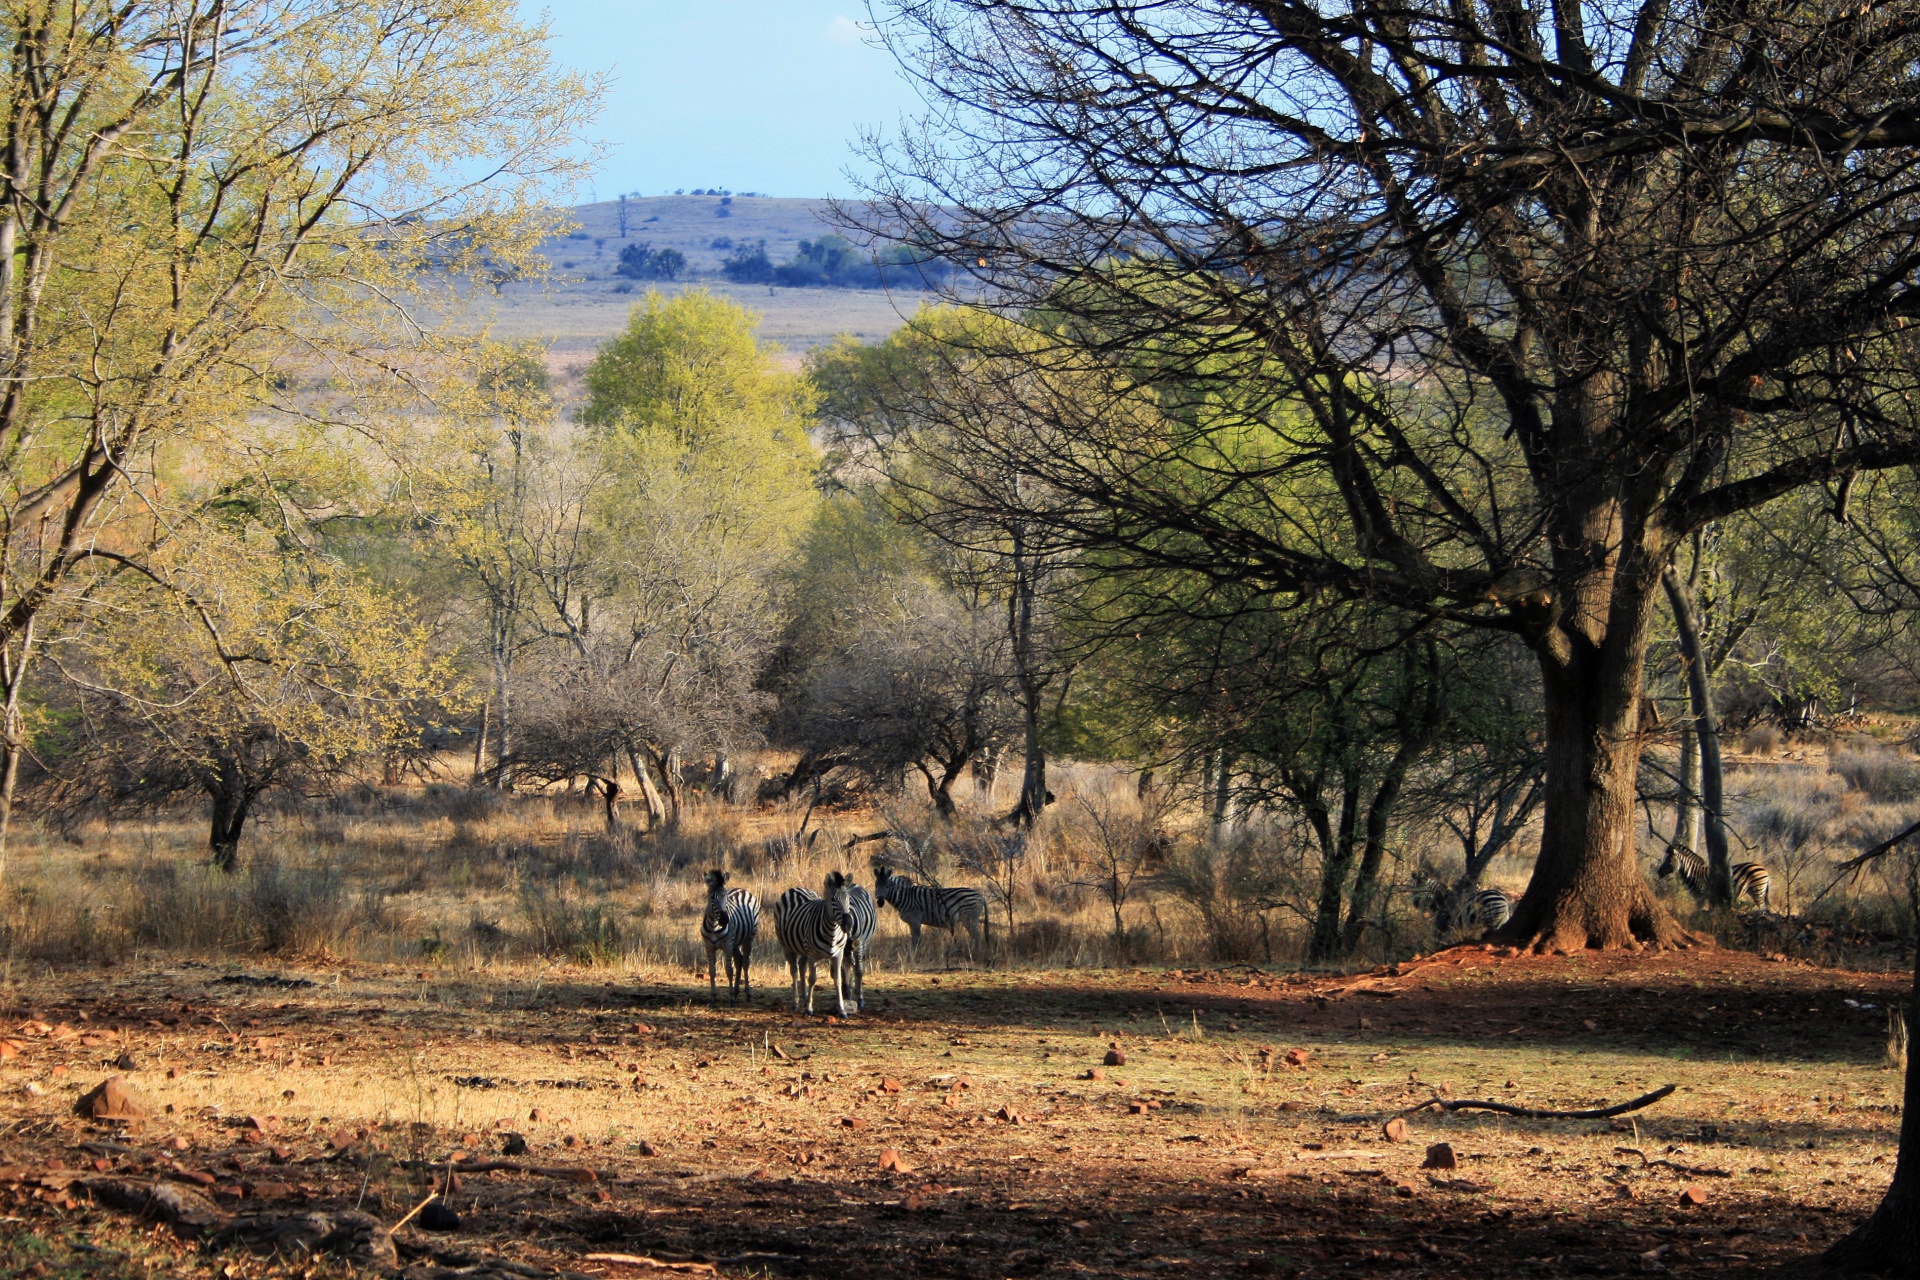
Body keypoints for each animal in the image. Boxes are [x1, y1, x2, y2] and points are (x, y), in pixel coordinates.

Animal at [702, 875, 760, 1005]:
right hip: (735, 943)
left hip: (749, 938)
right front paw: (713, 998)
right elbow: (712, 970)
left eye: (726, 898)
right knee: (739, 960)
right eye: (712, 897)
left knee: (745, 962)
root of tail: (742, 889)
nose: (724, 920)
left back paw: (747, 994)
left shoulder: (727, 944)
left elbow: (729, 970)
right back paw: (736, 991)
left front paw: (731, 999)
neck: (714, 926)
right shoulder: (709, 946)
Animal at [771, 875, 856, 1013]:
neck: (832, 933)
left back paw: (805, 999)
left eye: (848, 898)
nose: (848, 924)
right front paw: (810, 1008)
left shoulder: (838, 954)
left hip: (803, 948)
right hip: (787, 947)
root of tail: (795, 888)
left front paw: (841, 1008)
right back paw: (796, 1003)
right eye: (832, 899)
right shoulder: (812, 955)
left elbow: (837, 980)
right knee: (794, 971)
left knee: (801, 967)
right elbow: (812, 979)